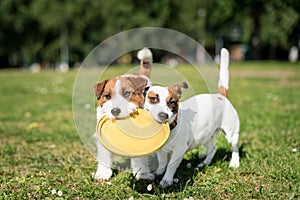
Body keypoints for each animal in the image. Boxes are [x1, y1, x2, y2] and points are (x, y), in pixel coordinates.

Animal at [93, 47, 155, 181]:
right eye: (107, 96)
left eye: (127, 93)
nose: (115, 111)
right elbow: (104, 155)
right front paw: (103, 173)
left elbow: (140, 158)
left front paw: (142, 173)